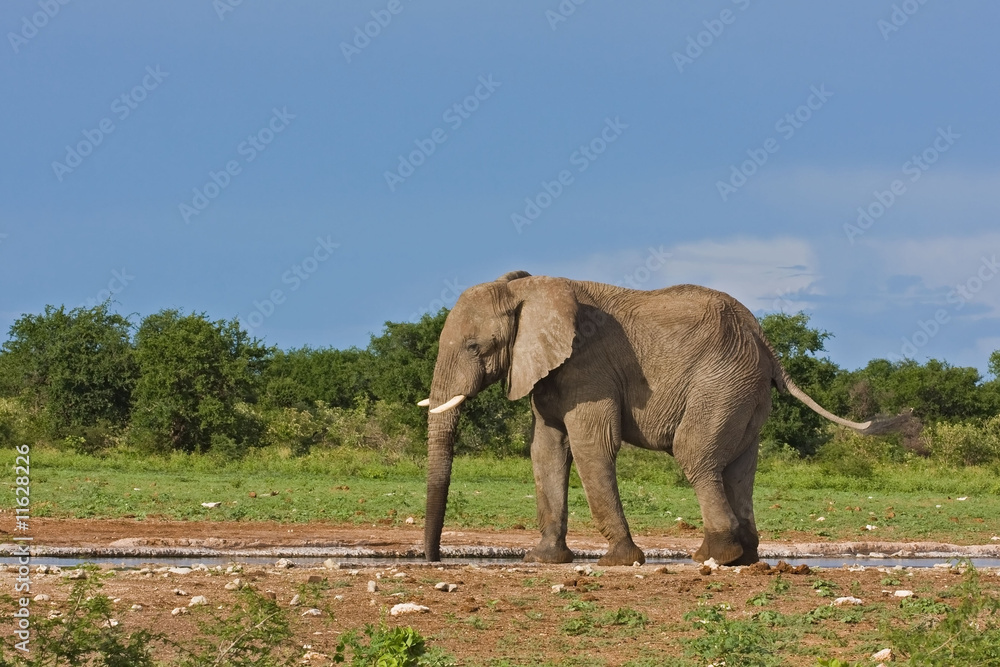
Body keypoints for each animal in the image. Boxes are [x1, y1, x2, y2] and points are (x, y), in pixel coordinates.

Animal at [420, 271, 905, 566]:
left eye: (474, 348)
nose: (432, 558)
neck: (530, 289)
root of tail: (764, 341)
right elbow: (547, 451)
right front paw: (542, 560)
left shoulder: (590, 368)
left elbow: (591, 446)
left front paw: (619, 560)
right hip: (746, 390)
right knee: (739, 466)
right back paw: (741, 556)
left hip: (722, 381)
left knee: (694, 453)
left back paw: (716, 555)